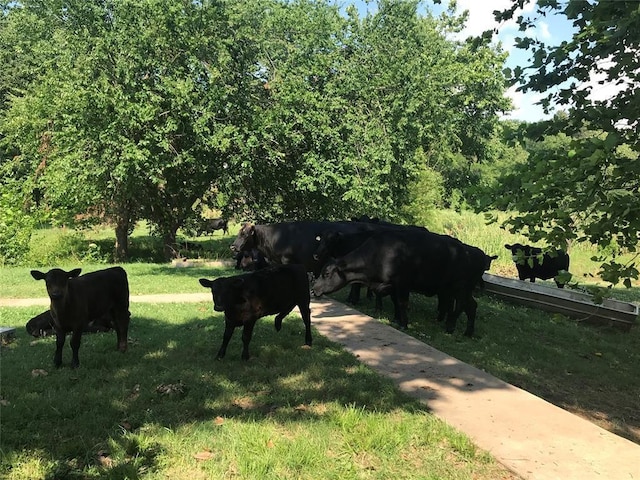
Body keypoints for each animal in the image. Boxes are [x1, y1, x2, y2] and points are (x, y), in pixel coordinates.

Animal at [312, 230, 488, 336]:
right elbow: (394, 301)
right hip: (458, 289)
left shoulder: (402, 284)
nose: (314, 289)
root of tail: (469, 251)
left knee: (463, 306)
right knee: (470, 306)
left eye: (326, 273)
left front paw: (403, 323)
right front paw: (397, 319)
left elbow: (402, 302)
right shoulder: (392, 286)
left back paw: (451, 327)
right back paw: (467, 332)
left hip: (460, 287)